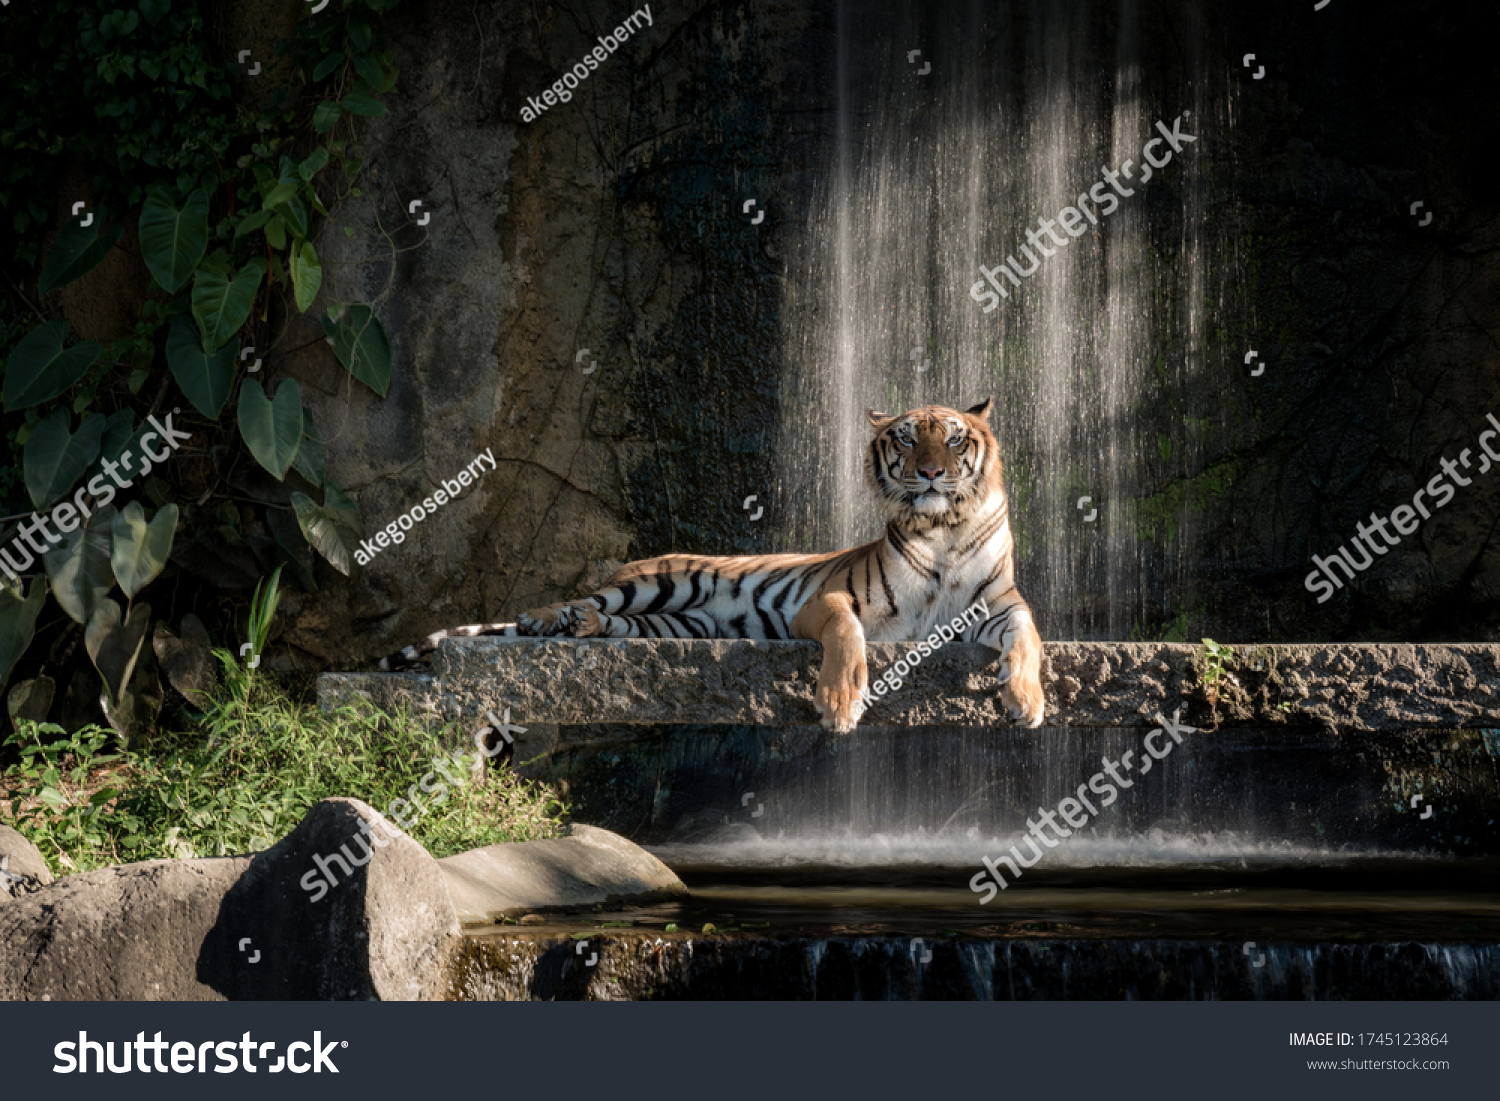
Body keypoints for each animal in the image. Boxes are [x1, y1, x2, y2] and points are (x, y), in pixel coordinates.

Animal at [381, 399, 1050, 732]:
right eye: (908, 439)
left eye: (955, 439)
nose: (932, 472)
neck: (943, 533)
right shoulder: (830, 599)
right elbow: (847, 633)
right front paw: (840, 699)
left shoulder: (999, 606)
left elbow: (1029, 639)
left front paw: (1026, 699)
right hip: (657, 582)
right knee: (580, 598)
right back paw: (547, 620)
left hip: (681, 622)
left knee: (617, 623)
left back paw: (582, 629)